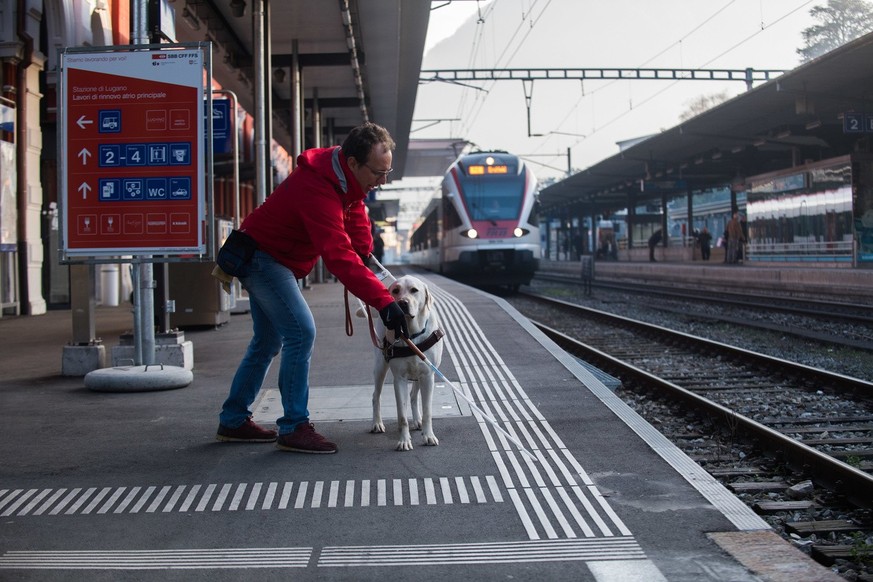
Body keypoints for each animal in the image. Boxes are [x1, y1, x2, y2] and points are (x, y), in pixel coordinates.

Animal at [364, 276, 442, 454]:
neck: (410, 334)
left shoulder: (428, 376)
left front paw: (428, 436)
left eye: (414, 290)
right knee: (375, 396)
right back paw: (377, 423)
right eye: (395, 290)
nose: (402, 303)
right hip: (380, 366)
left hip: (420, 375)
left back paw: (418, 421)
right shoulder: (399, 379)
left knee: (413, 397)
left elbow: (427, 411)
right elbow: (402, 416)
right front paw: (404, 441)